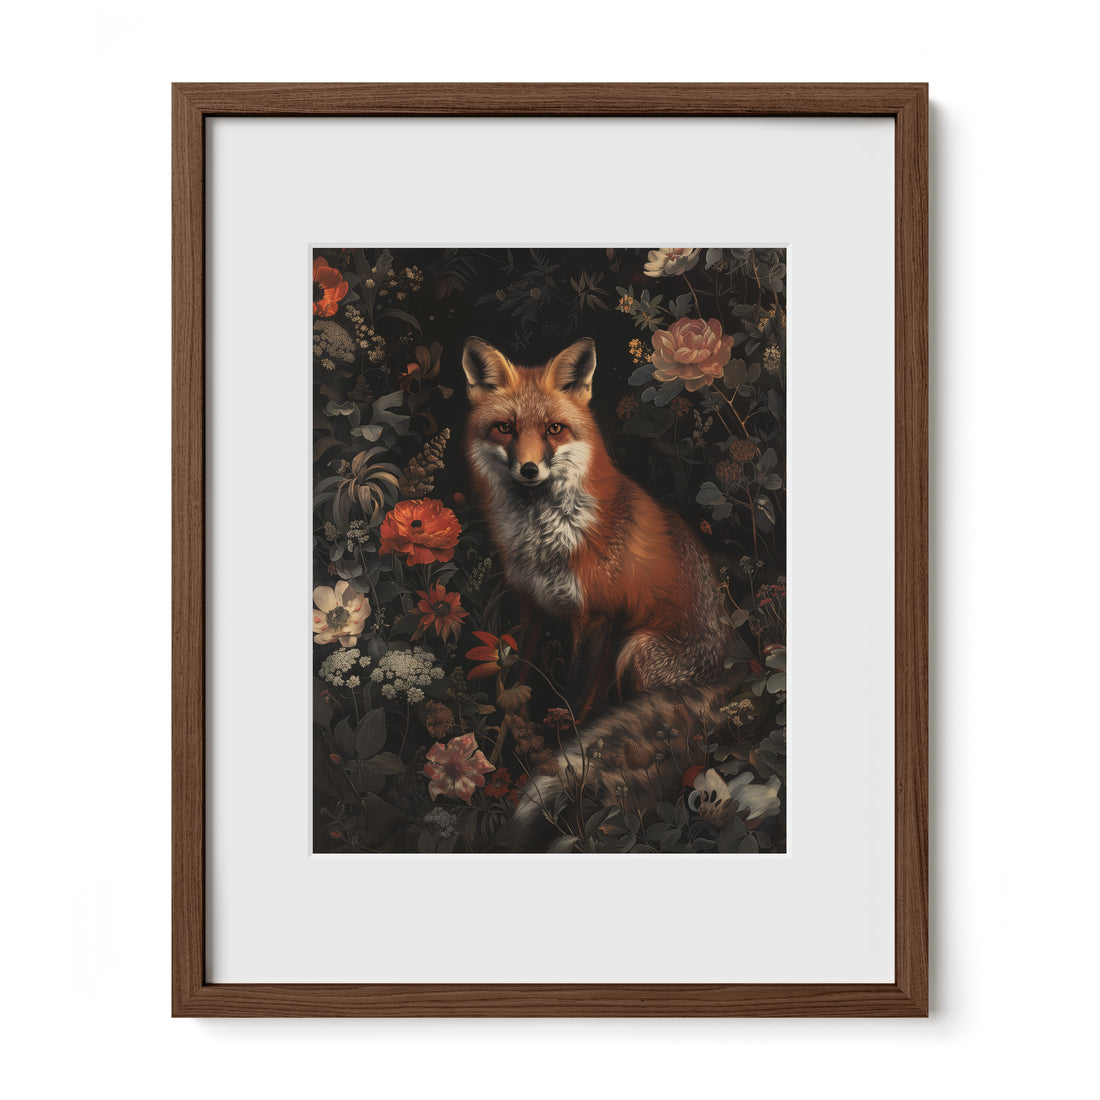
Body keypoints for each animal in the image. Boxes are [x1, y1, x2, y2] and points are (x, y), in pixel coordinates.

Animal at [462, 336, 753, 851]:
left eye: (555, 429)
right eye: (505, 428)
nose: (530, 469)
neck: (547, 535)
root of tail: (737, 664)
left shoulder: (598, 618)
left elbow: (575, 707)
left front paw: (558, 769)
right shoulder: (532, 609)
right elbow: (514, 693)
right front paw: (494, 764)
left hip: (637, 651)